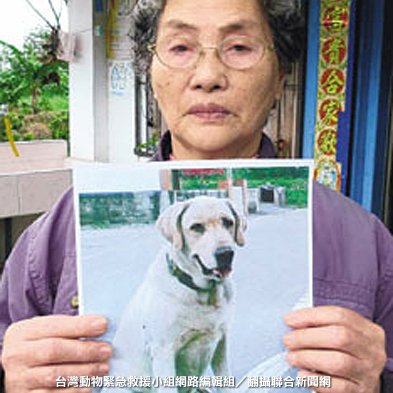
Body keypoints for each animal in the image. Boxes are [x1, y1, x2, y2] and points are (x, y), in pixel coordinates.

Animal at [104, 196, 245, 392]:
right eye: (197, 227)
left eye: (228, 222)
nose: (225, 253)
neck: (203, 293)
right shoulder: (164, 351)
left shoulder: (221, 342)